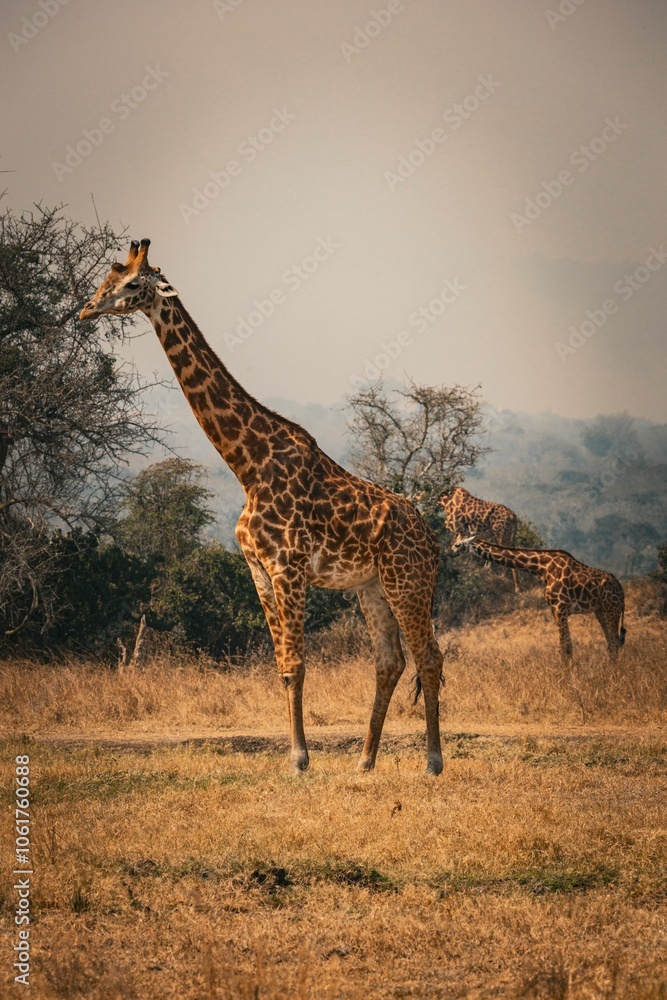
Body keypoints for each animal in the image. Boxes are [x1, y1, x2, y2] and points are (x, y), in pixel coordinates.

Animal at [80, 239, 445, 774]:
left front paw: (299, 759)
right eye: (106, 278)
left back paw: (433, 761)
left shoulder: (288, 568)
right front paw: (298, 757)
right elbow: (282, 668)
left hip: (407, 581)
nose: (86, 309)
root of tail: (434, 542)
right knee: (391, 661)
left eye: (130, 283)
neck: (246, 465)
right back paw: (364, 761)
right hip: (372, 587)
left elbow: (296, 664)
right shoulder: (258, 570)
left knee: (429, 657)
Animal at [449, 534, 626, 659]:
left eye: (458, 544)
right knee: (611, 643)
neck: (542, 568)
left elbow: (565, 649)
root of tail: (621, 591)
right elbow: (568, 647)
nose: (449, 552)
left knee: (614, 642)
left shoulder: (560, 608)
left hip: (611, 609)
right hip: (600, 611)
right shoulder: (555, 610)